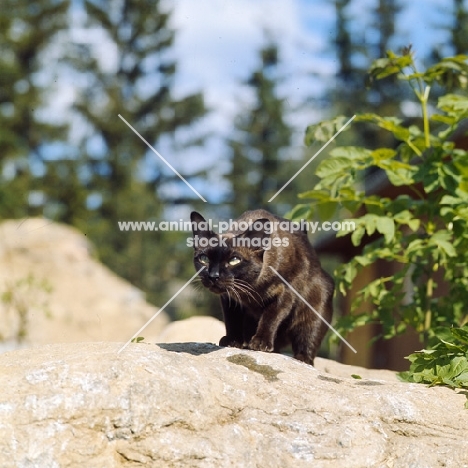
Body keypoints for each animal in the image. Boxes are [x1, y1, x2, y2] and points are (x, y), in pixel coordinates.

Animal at [188, 209, 334, 366]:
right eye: (204, 259)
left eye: (234, 260)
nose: (213, 276)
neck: (251, 289)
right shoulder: (230, 299)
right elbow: (232, 320)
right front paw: (233, 341)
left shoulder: (285, 294)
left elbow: (270, 318)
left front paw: (260, 343)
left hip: (313, 312)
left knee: (307, 343)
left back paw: (301, 359)